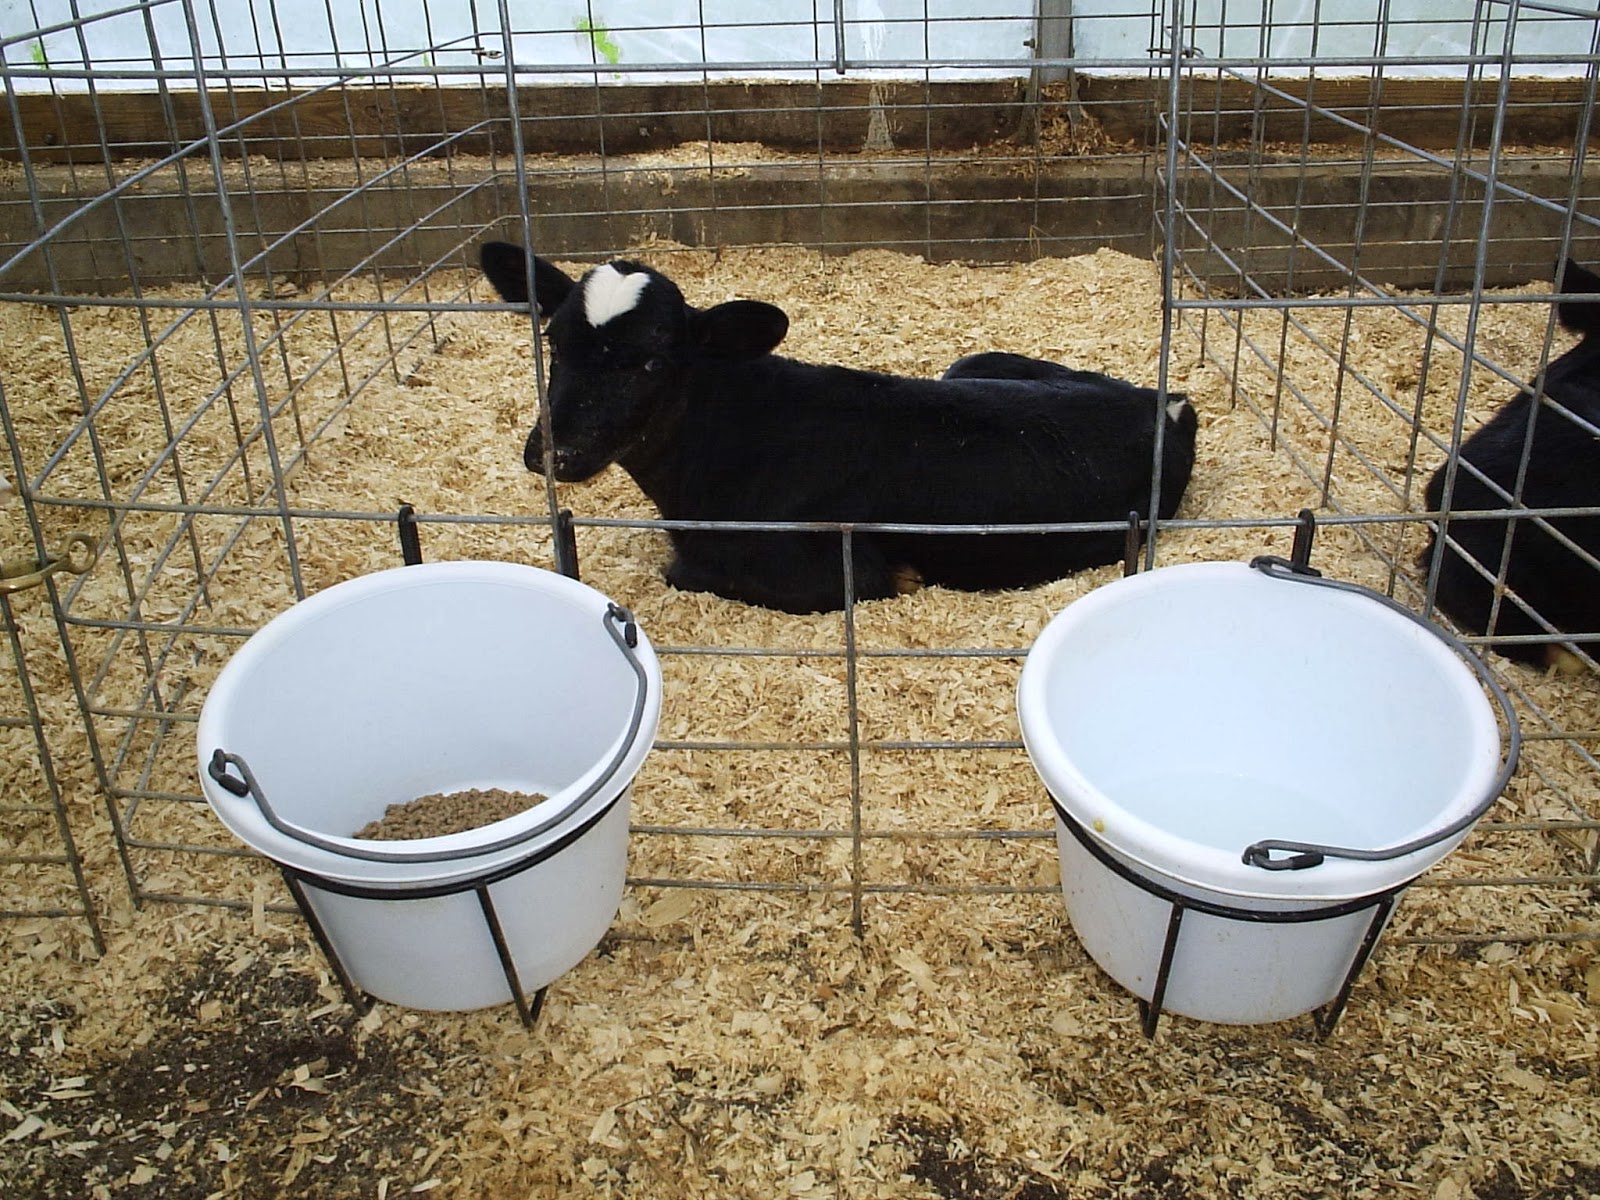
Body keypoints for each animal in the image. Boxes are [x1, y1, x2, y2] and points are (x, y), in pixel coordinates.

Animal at [481, 241, 1199, 614]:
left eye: (653, 361)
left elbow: (679, 572)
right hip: (972, 361)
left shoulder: (830, 572)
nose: (551, 452)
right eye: (552, 339)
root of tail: (1165, 401)